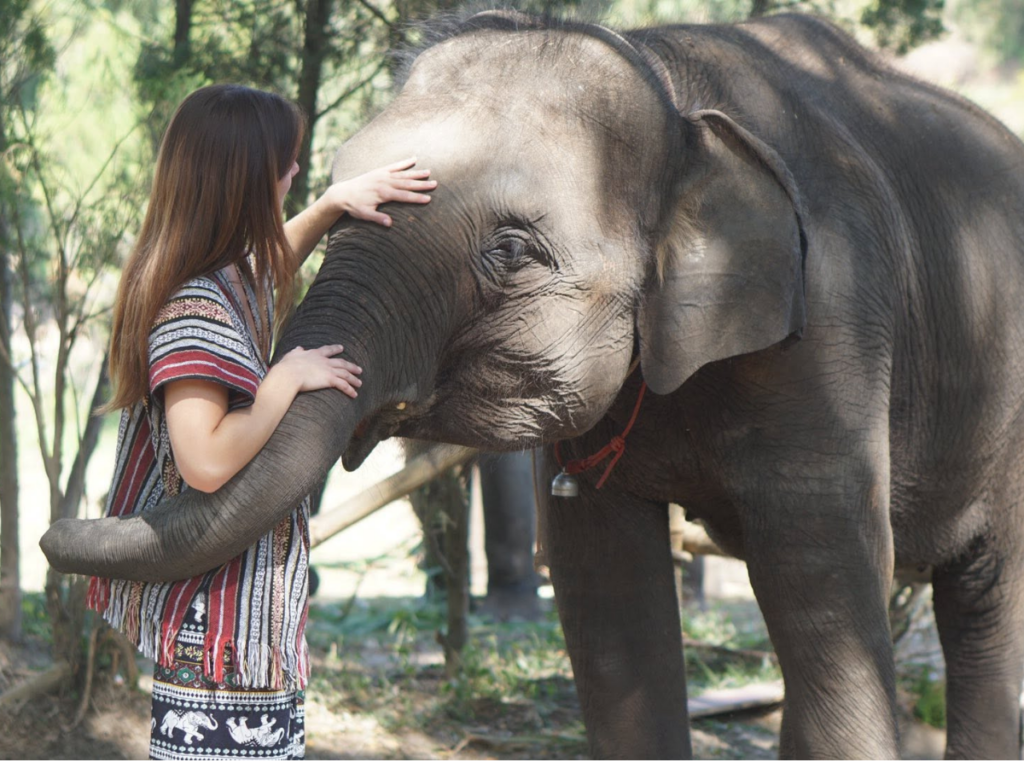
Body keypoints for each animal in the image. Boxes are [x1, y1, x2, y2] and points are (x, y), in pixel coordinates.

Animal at [41, 10, 1024, 760]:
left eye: (511, 250)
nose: (55, 535)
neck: (669, 87)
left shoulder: (832, 319)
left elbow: (819, 574)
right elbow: (604, 584)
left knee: (983, 602)